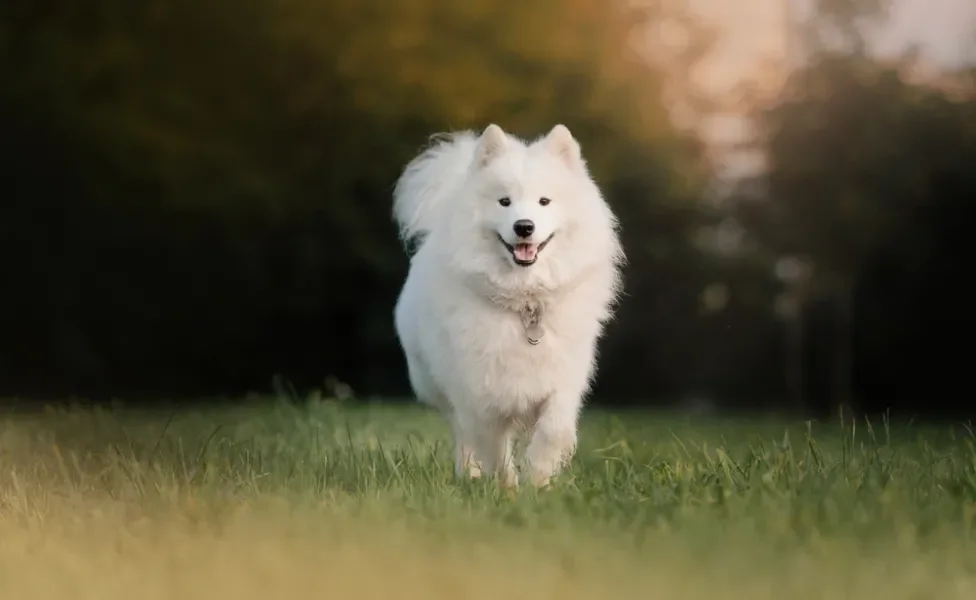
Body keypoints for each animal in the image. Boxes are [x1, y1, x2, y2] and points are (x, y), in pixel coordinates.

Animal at [392, 123, 620, 488]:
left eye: (544, 201)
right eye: (504, 202)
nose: (523, 226)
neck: (524, 304)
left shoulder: (562, 380)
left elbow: (554, 429)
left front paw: (538, 478)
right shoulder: (481, 391)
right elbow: (494, 445)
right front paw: (507, 488)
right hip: (440, 385)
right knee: (462, 433)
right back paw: (469, 474)